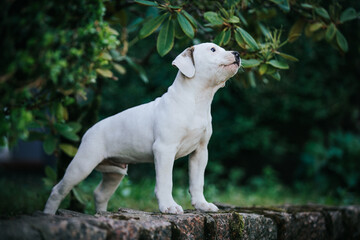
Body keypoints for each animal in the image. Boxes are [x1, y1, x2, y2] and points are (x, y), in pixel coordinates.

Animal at [43, 42, 240, 215]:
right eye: (213, 49)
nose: (237, 53)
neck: (197, 100)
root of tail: (89, 130)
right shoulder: (164, 149)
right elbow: (165, 182)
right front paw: (169, 206)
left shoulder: (200, 151)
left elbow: (197, 181)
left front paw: (202, 205)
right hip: (83, 164)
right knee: (58, 190)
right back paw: (49, 214)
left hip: (114, 173)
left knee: (100, 194)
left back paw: (102, 214)